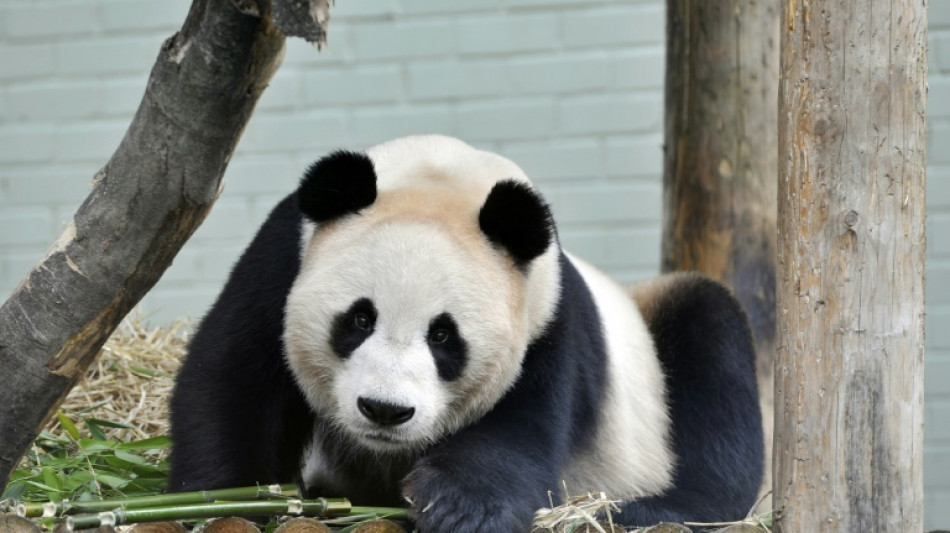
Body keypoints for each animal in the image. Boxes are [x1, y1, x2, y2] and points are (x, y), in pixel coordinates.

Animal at [169, 135, 768, 528]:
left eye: (443, 337)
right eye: (359, 319)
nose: (384, 410)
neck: (444, 179)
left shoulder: (545, 316)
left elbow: (519, 426)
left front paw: (461, 509)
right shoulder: (281, 261)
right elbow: (233, 381)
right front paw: (233, 500)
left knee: (712, 350)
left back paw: (656, 508)